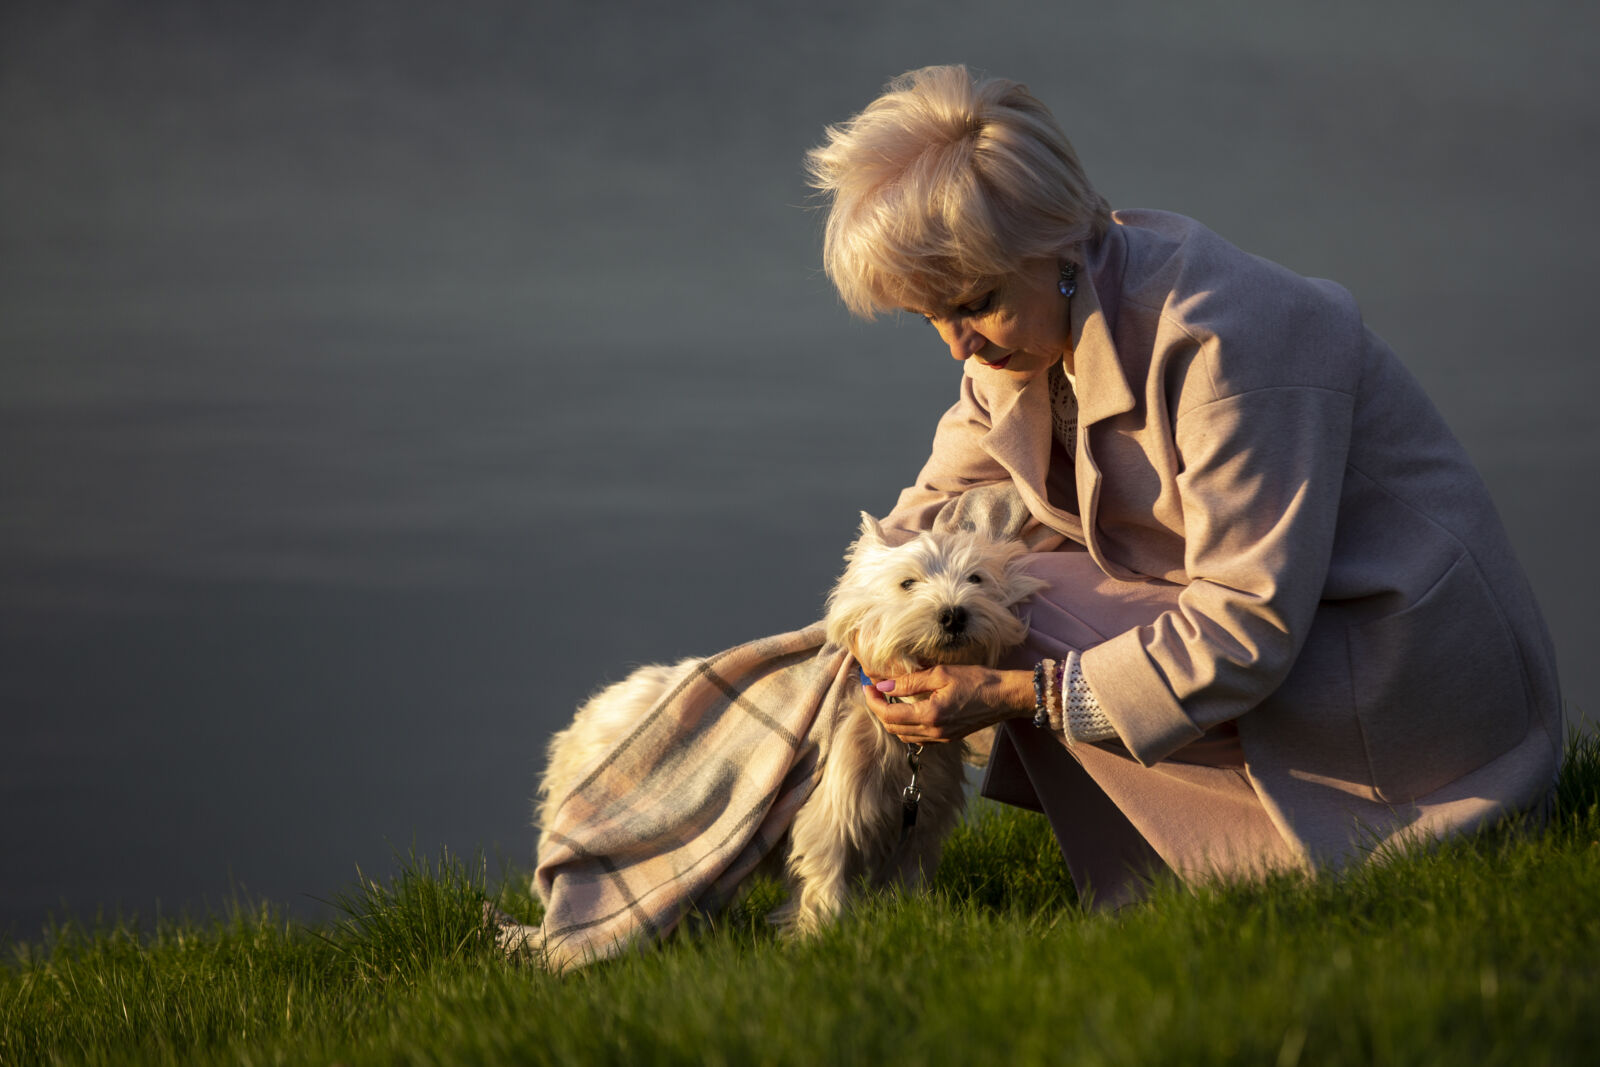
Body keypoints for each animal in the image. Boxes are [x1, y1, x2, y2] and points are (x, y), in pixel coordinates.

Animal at [531, 515, 1043, 934]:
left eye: (976, 578)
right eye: (907, 583)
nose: (954, 614)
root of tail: (582, 720)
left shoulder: (920, 823)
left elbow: (906, 885)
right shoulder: (832, 815)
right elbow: (826, 881)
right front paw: (823, 937)